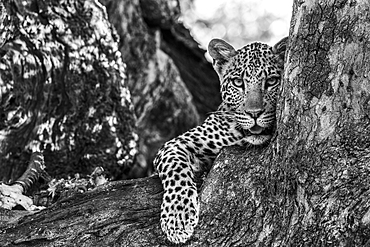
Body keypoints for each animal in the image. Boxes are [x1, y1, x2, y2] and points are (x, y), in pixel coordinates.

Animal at [153, 36, 290, 243]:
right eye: (238, 82)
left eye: (272, 81)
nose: (254, 113)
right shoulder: (176, 144)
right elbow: (175, 170)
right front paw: (177, 218)